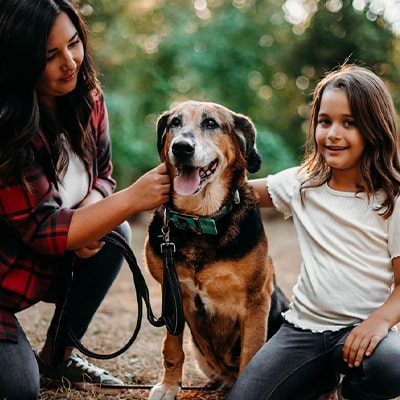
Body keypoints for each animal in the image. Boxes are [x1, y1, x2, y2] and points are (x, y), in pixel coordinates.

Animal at [144, 101, 288, 400]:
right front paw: (169, 385)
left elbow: (251, 354)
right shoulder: (171, 294)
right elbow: (172, 349)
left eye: (211, 123)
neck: (199, 219)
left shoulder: (257, 300)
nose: (181, 148)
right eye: (174, 123)